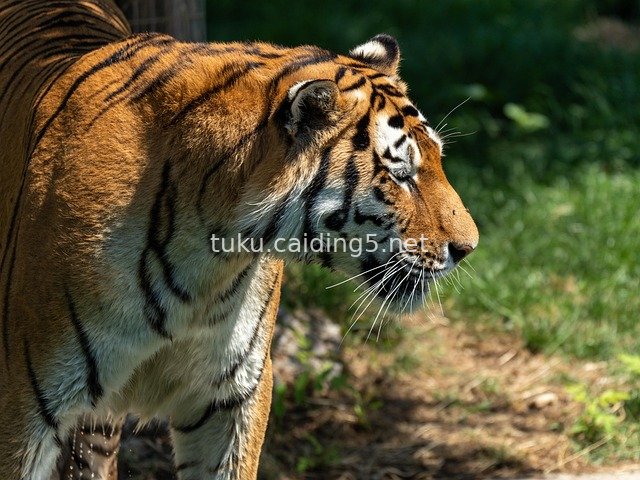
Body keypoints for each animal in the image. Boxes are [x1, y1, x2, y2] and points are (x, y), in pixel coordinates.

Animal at [0, 0, 479, 479]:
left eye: (437, 159)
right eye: (401, 175)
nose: (468, 248)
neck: (208, 260)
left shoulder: (232, 396)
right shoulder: (25, 404)